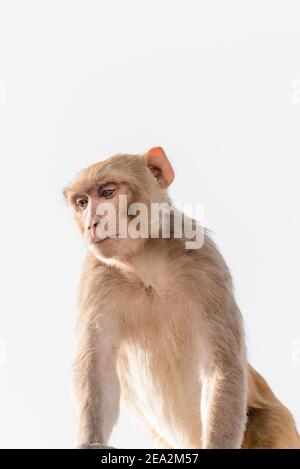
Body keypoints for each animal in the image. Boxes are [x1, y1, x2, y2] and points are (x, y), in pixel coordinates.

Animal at [63, 147, 300, 450]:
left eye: (106, 192)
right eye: (82, 202)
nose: (91, 223)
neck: (145, 262)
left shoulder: (206, 262)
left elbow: (221, 367)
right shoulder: (95, 276)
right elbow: (99, 367)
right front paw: (92, 442)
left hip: (276, 424)